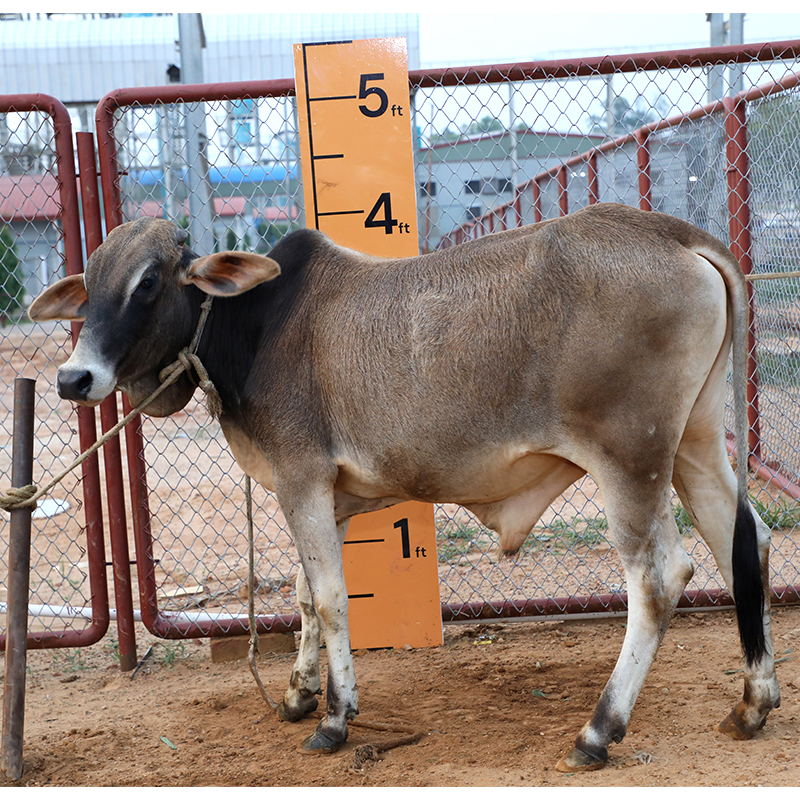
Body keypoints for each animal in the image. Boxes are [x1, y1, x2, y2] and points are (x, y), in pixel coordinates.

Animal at [28, 202, 780, 772]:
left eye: (150, 282)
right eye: (88, 285)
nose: (73, 378)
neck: (256, 325)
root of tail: (672, 234)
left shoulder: (301, 479)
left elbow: (329, 600)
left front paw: (335, 720)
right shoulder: (322, 499)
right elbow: (301, 593)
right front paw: (299, 693)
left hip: (631, 458)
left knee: (659, 579)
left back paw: (597, 731)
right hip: (694, 446)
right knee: (746, 544)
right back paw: (753, 702)